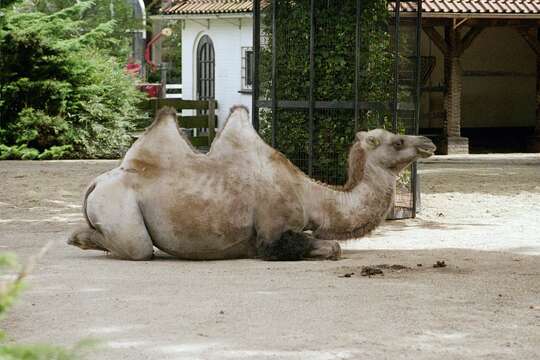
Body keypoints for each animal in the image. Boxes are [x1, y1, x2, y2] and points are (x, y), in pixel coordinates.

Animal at [69, 105, 436, 260]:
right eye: (397, 141)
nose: (428, 142)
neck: (310, 196)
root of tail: (97, 182)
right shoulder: (272, 232)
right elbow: (329, 247)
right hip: (119, 207)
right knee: (139, 248)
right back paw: (80, 238)